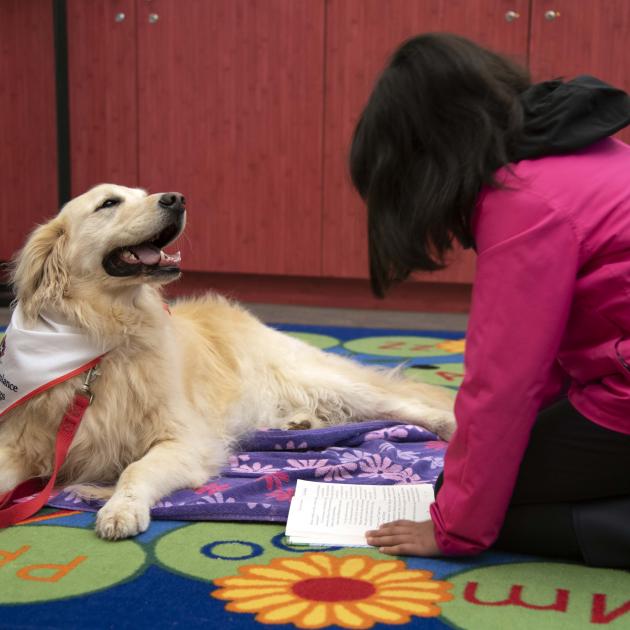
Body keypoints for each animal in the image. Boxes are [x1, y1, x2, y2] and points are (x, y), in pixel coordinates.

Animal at [0, 185, 454, 540]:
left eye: (140, 193)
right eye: (109, 203)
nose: (176, 199)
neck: (102, 334)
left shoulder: (183, 440)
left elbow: (135, 471)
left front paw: (120, 509)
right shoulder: (25, 441)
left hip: (312, 374)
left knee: (395, 402)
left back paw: (447, 424)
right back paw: (298, 424)